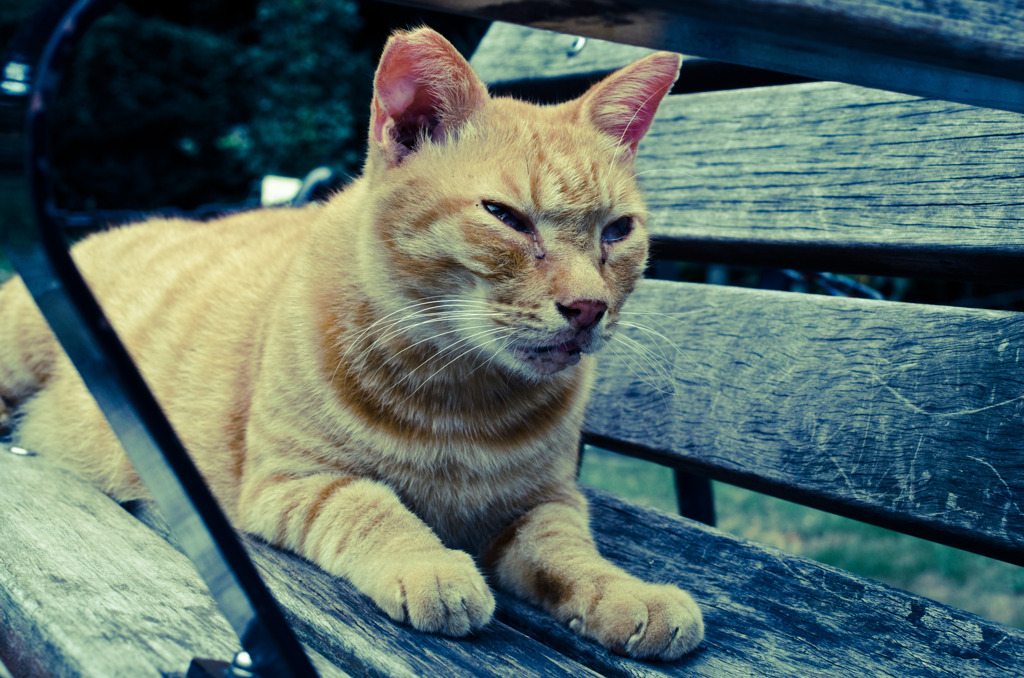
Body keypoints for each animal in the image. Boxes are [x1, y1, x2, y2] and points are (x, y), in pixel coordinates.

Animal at [0, 27, 704, 663]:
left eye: (617, 231)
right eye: (506, 217)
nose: (589, 307)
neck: (463, 398)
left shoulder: (545, 501)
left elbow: (569, 550)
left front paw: (627, 593)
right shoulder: (292, 481)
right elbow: (371, 507)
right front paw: (430, 565)